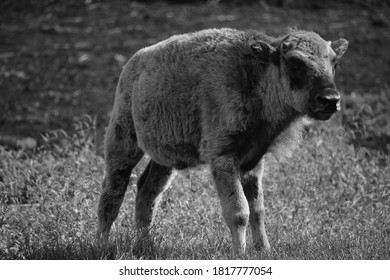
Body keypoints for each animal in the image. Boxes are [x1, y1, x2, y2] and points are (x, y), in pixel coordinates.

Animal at [96, 27, 348, 256]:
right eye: (295, 63)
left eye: (334, 63)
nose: (330, 100)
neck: (255, 77)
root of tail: (132, 65)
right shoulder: (224, 159)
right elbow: (239, 211)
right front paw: (240, 254)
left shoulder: (253, 162)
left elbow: (258, 209)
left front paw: (264, 249)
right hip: (123, 141)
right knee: (113, 192)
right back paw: (102, 245)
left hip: (165, 159)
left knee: (147, 191)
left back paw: (146, 246)